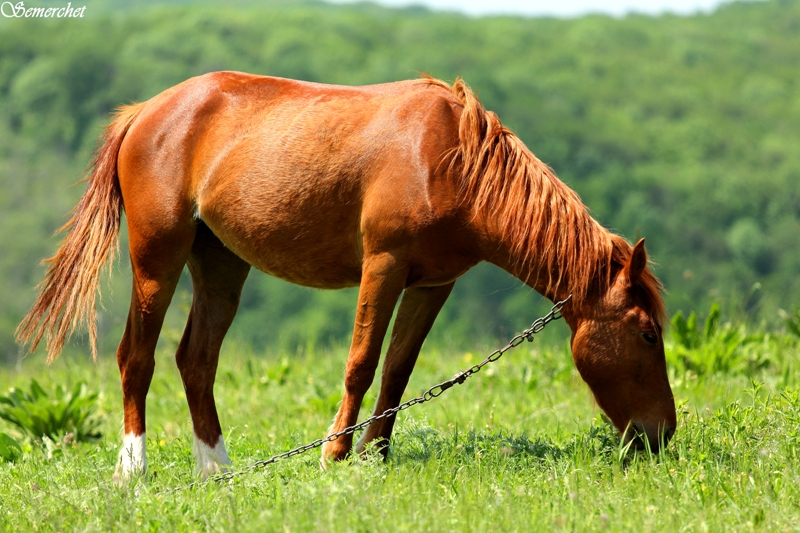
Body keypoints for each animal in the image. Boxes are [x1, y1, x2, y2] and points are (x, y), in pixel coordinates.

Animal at [15, 71, 672, 478]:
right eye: (647, 333)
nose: (660, 435)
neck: (450, 160)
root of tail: (145, 112)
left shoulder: (432, 283)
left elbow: (399, 370)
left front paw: (375, 457)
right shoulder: (383, 264)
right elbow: (361, 361)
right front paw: (334, 454)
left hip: (221, 262)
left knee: (195, 360)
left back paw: (217, 471)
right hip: (158, 256)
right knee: (137, 355)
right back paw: (133, 469)